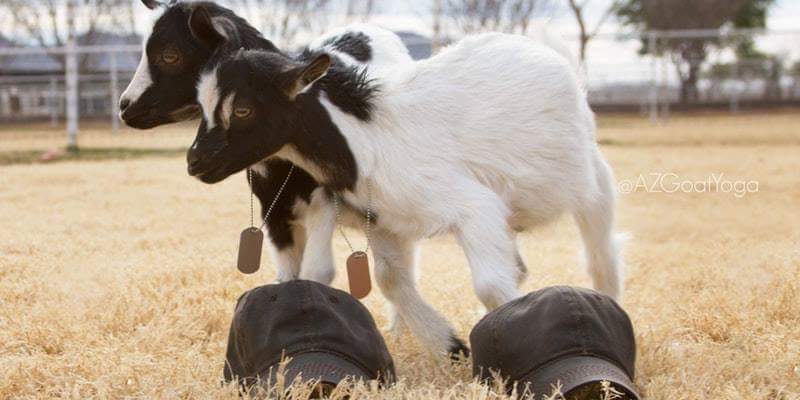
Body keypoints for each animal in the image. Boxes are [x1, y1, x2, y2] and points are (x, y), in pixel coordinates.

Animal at [119, 0, 412, 284]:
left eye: (170, 55)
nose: (125, 106)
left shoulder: (324, 201)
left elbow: (317, 272)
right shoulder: (273, 212)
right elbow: (287, 276)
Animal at [186, 31, 626, 357]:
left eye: (243, 109)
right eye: (202, 106)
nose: (195, 162)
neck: (368, 136)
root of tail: (545, 49)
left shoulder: (474, 207)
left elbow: (488, 284)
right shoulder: (384, 221)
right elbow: (390, 279)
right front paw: (450, 345)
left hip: (593, 177)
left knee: (600, 251)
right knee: (517, 263)